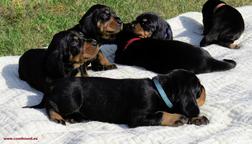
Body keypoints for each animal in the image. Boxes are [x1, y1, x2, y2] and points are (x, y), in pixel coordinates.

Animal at [39, 69, 209, 127]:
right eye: (199, 88)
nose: (205, 89)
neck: (159, 91)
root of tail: (53, 85)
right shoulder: (137, 116)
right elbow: (161, 114)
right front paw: (177, 118)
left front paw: (198, 118)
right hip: (72, 98)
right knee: (50, 104)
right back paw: (58, 117)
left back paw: (75, 118)